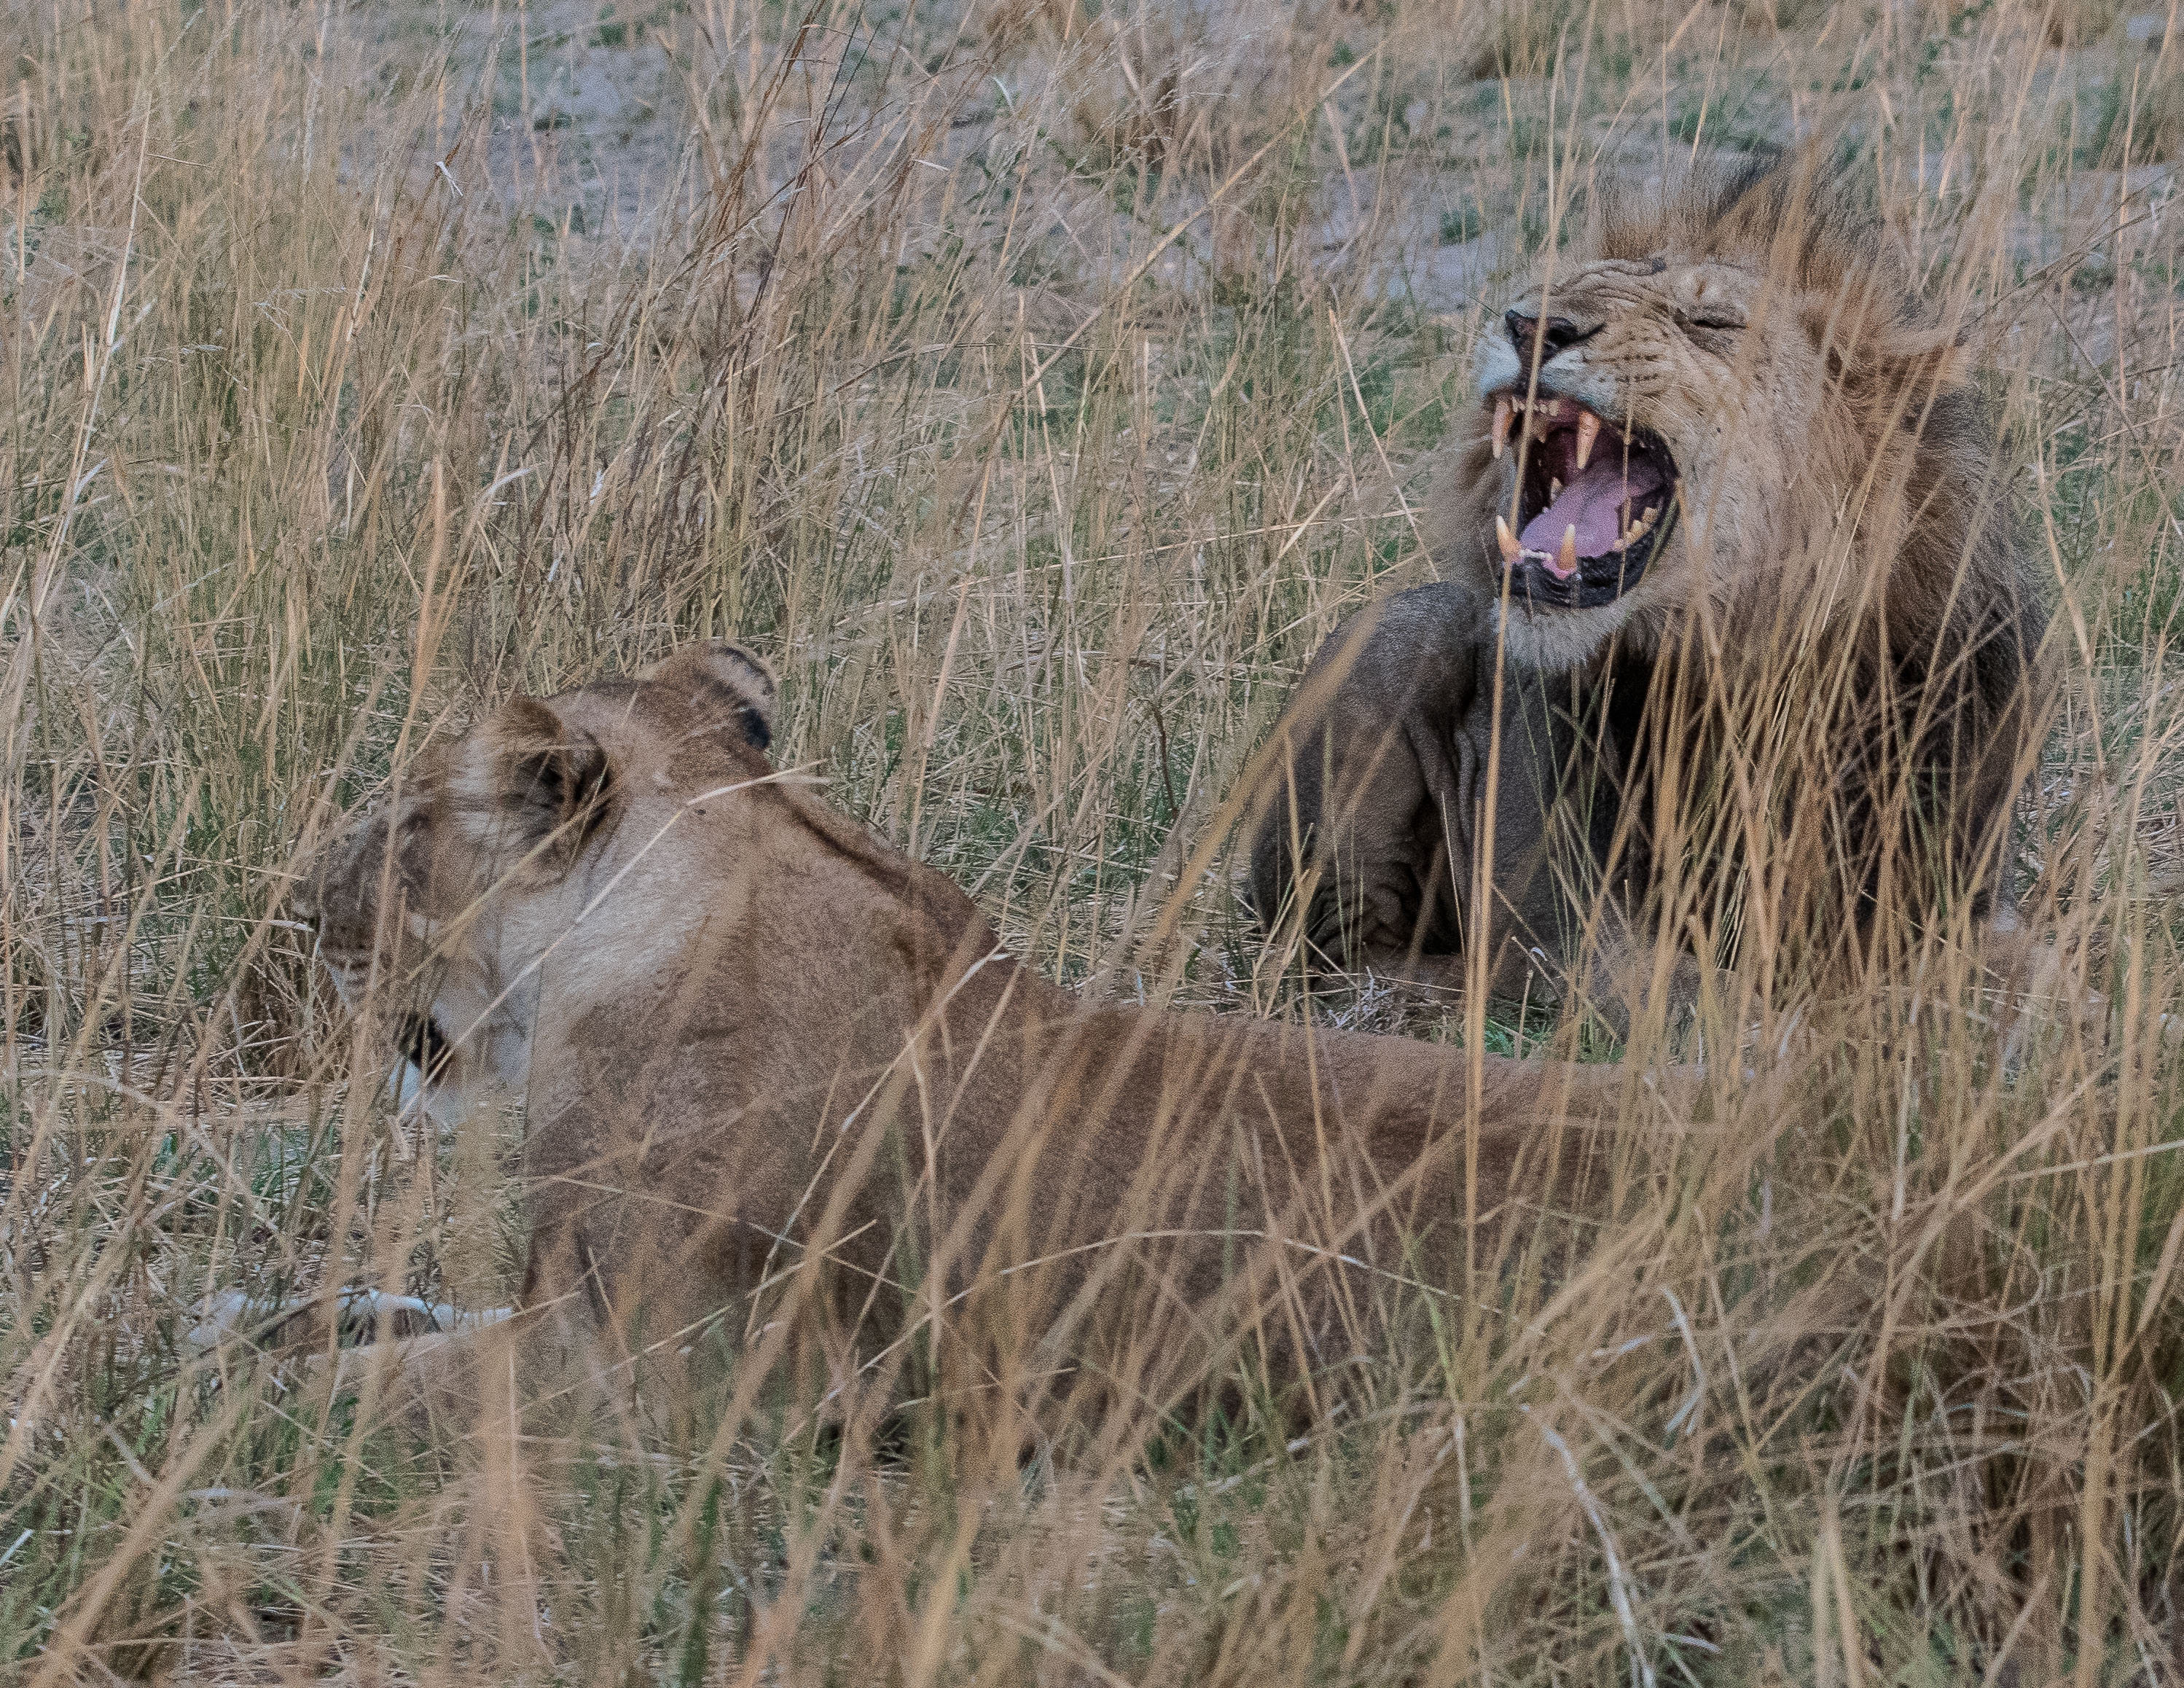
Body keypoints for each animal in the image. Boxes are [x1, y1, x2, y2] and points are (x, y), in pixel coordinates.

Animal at [294, 637, 1651, 1415]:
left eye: (404, 824)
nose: (304, 905)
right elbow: (407, 1318)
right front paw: (299, 1310)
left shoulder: (639, 1371)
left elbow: (357, 1396)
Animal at [1249, 158, 2044, 1013]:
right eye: (1565, 288)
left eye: (1712, 324)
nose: (1528, 326)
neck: (1749, 657)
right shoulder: (1582, 926)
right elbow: (1708, 1002)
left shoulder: (1953, 892)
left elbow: (2037, 966)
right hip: (1382, 647)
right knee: (1345, 966)